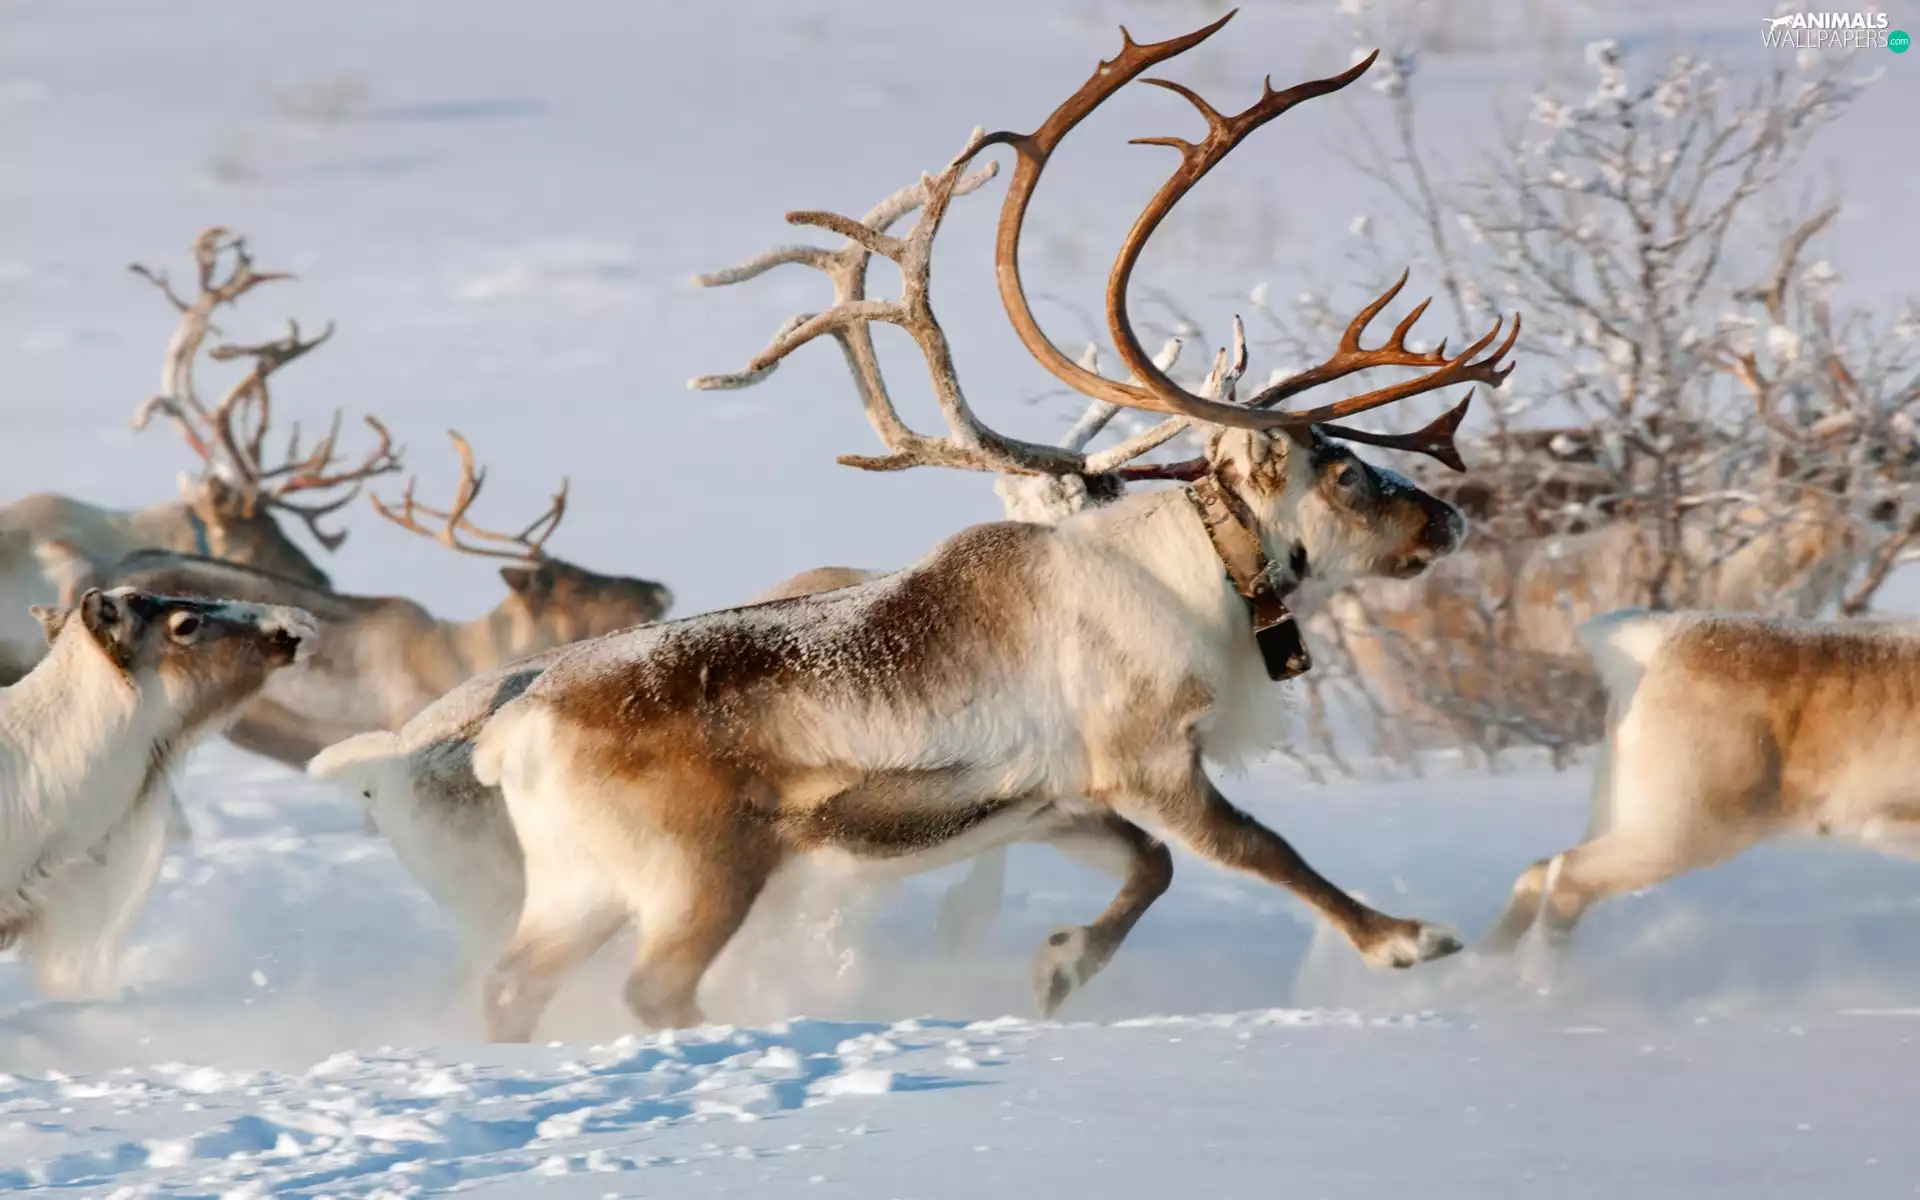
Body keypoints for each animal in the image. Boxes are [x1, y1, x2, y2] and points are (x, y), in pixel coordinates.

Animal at [462, 16, 1521, 1043]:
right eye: (1343, 470)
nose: (1448, 517)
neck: (1197, 581)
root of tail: (512, 733)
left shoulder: (1051, 802)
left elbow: (1153, 868)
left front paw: (1061, 966)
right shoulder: (1148, 762)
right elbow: (1265, 849)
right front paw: (1404, 940)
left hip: (577, 891)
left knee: (510, 989)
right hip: (700, 874)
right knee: (651, 990)